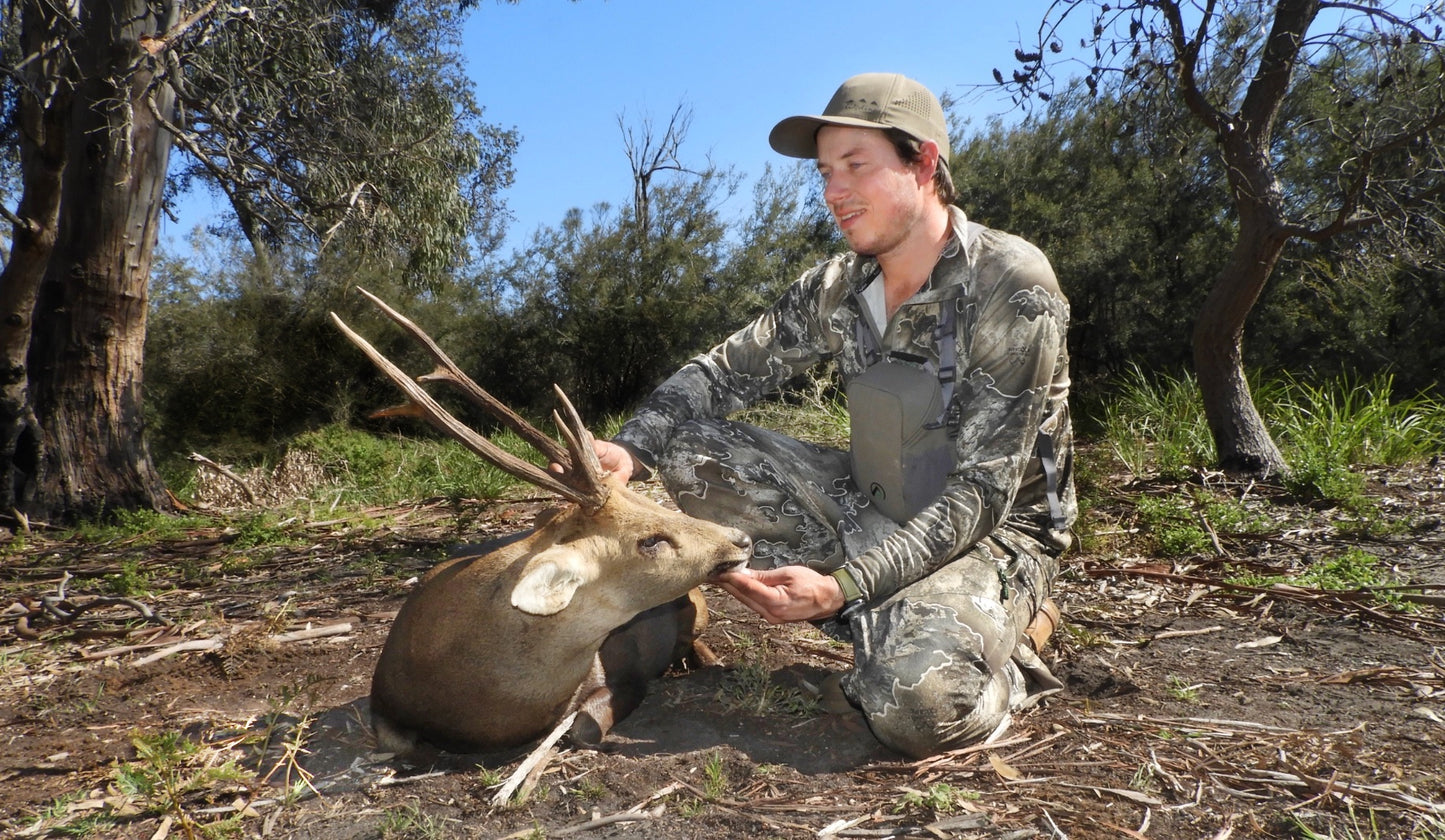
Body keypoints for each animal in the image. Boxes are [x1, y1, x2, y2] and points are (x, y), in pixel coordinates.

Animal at [331, 288, 753, 756]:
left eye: (647, 500)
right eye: (650, 541)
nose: (741, 538)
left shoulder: (623, 666)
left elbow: (585, 726)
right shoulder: (385, 704)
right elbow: (399, 743)